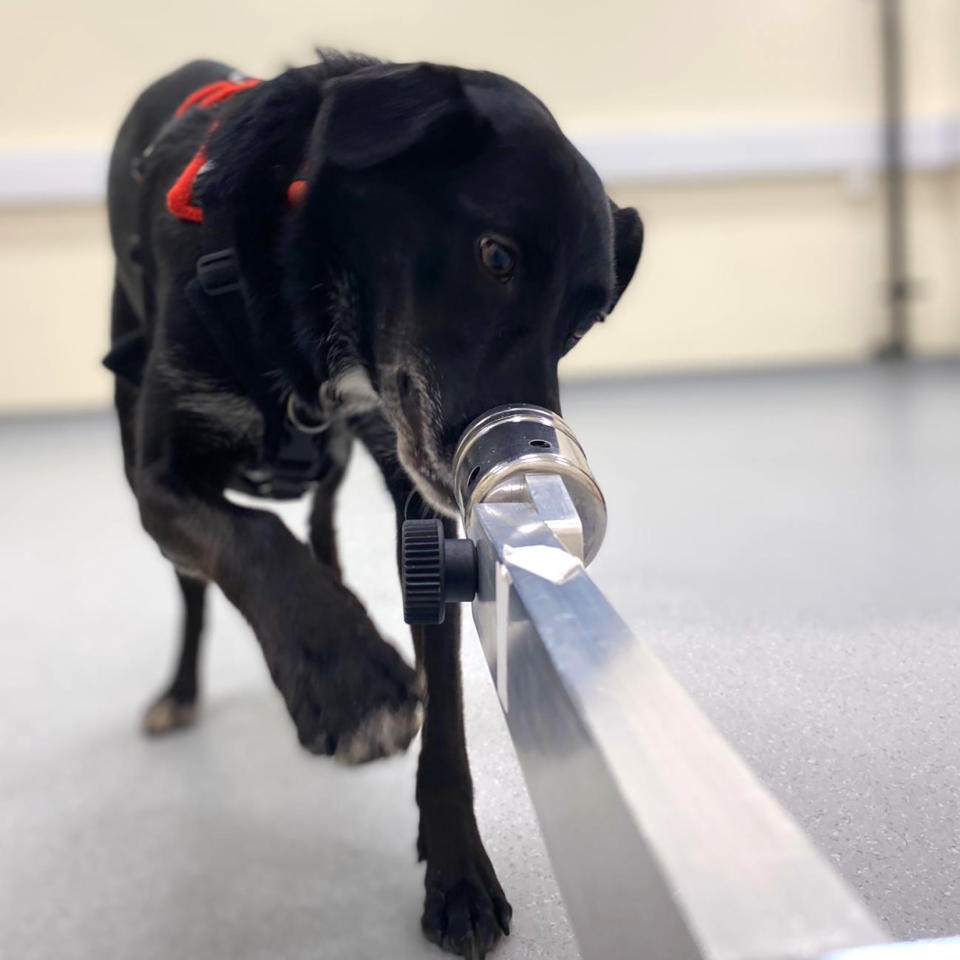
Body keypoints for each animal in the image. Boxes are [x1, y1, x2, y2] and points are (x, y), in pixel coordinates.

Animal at [103, 54, 644, 960]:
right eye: (496, 256)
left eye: (586, 319)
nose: (526, 452)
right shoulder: (161, 479)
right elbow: (253, 541)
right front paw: (347, 680)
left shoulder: (421, 508)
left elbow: (449, 704)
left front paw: (458, 874)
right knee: (199, 583)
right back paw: (183, 689)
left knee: (319, 523)